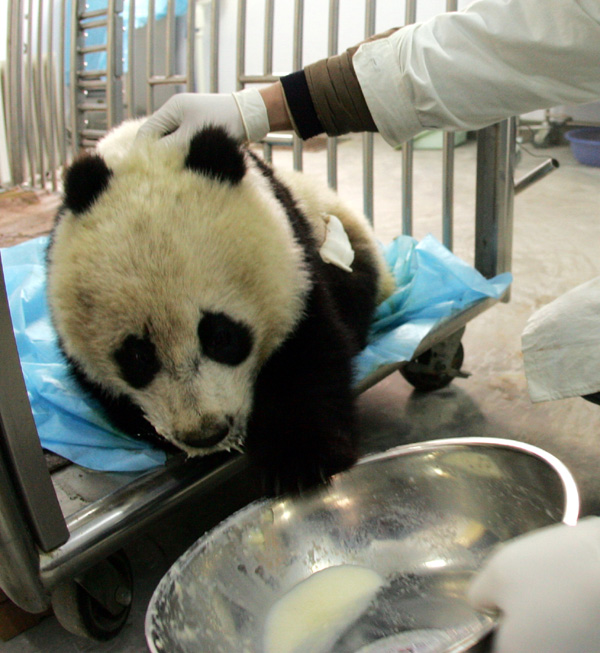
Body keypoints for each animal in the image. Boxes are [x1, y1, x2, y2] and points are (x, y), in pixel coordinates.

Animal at [46, 120, 395, 493]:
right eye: (138, 355)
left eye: (222, 337)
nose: (205, 433)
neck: (145, 150)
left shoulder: (294, 256)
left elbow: (309, 352)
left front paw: (302, 461)